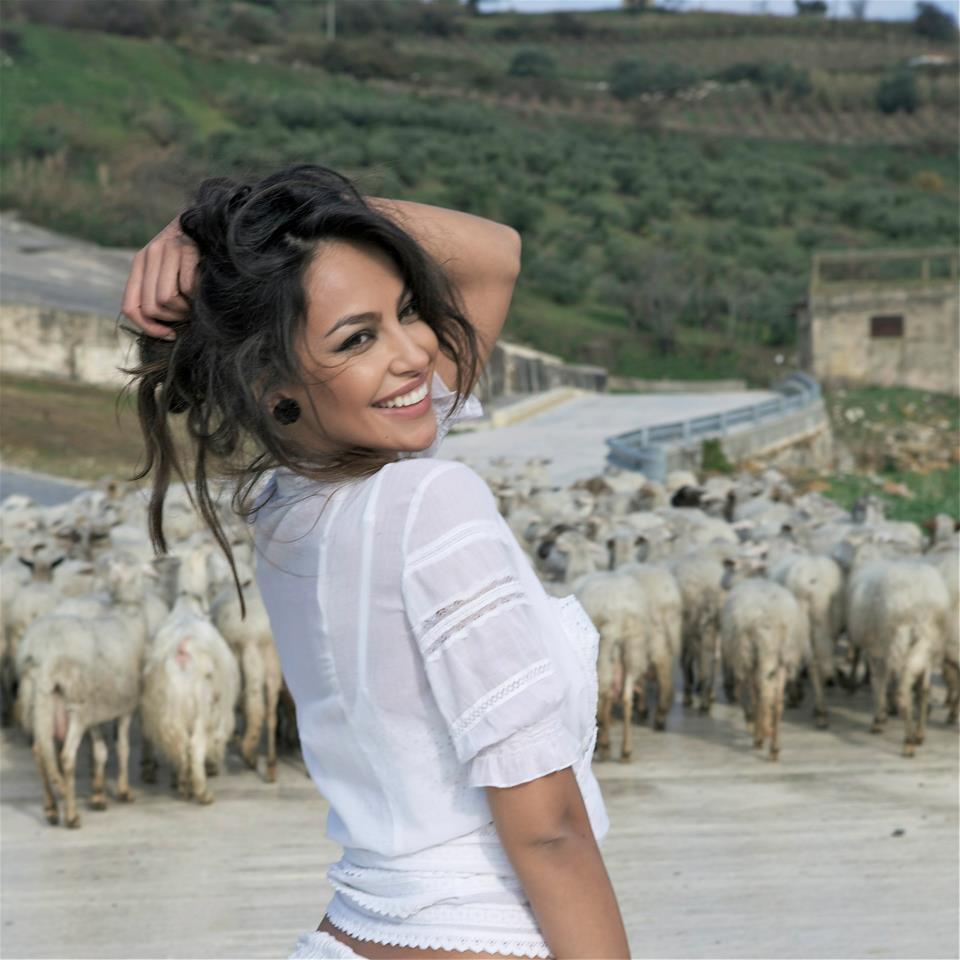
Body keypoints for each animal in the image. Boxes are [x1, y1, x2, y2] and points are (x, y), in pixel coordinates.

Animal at [140, 595, 241, 804]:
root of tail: (182, 651)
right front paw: (212, 767)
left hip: (168, 712)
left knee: (180, 747)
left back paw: (183, 784)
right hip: (203, 710)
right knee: (195, 747)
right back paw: (202, 793)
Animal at [720, 576, 809, 761]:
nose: (722, 584)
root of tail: (767, 623)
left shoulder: (743, 663)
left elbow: (746, 694)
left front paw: (751, 721)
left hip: (749, 653)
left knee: (758, 695)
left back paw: (759, 738)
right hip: (783, 656)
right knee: (776, 701)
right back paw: (774, 747)